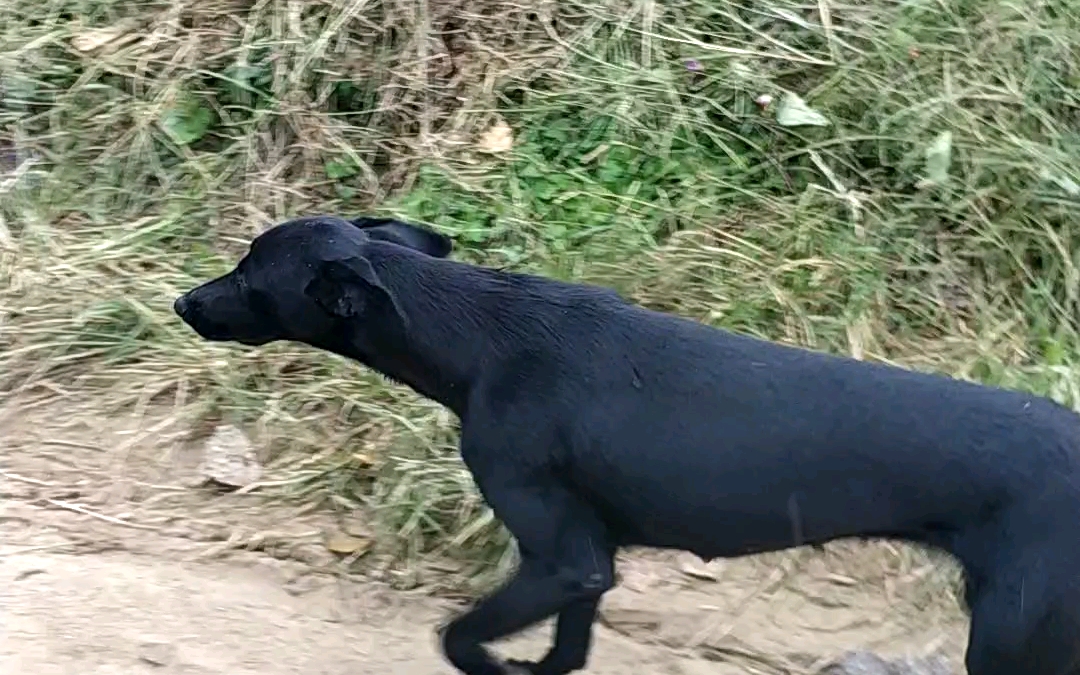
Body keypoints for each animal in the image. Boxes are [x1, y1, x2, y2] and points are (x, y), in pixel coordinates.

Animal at [174, 216, 1080, 673]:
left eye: (249, 275)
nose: (183, 301)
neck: (478, 335)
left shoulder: (559, 555)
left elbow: (460, 638)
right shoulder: (591, 557)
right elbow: (566, 652)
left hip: (1011, 637)